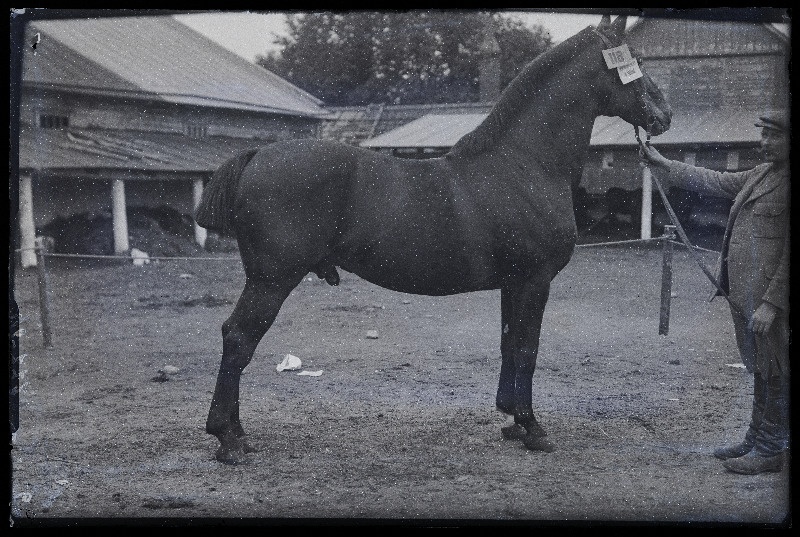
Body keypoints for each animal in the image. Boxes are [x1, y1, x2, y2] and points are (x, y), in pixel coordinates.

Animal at [197, 14, 672, 462]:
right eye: (636, 59)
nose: (664, 115)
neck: (523, 164)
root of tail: (258, 155)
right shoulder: (534, 281)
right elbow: (527, 349)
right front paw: (532, 427)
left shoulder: (513, 284)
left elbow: (508, 344)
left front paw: (511, 421)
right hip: (272, 280)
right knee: (238, 339)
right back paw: (228, 439)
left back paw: (237, 434)